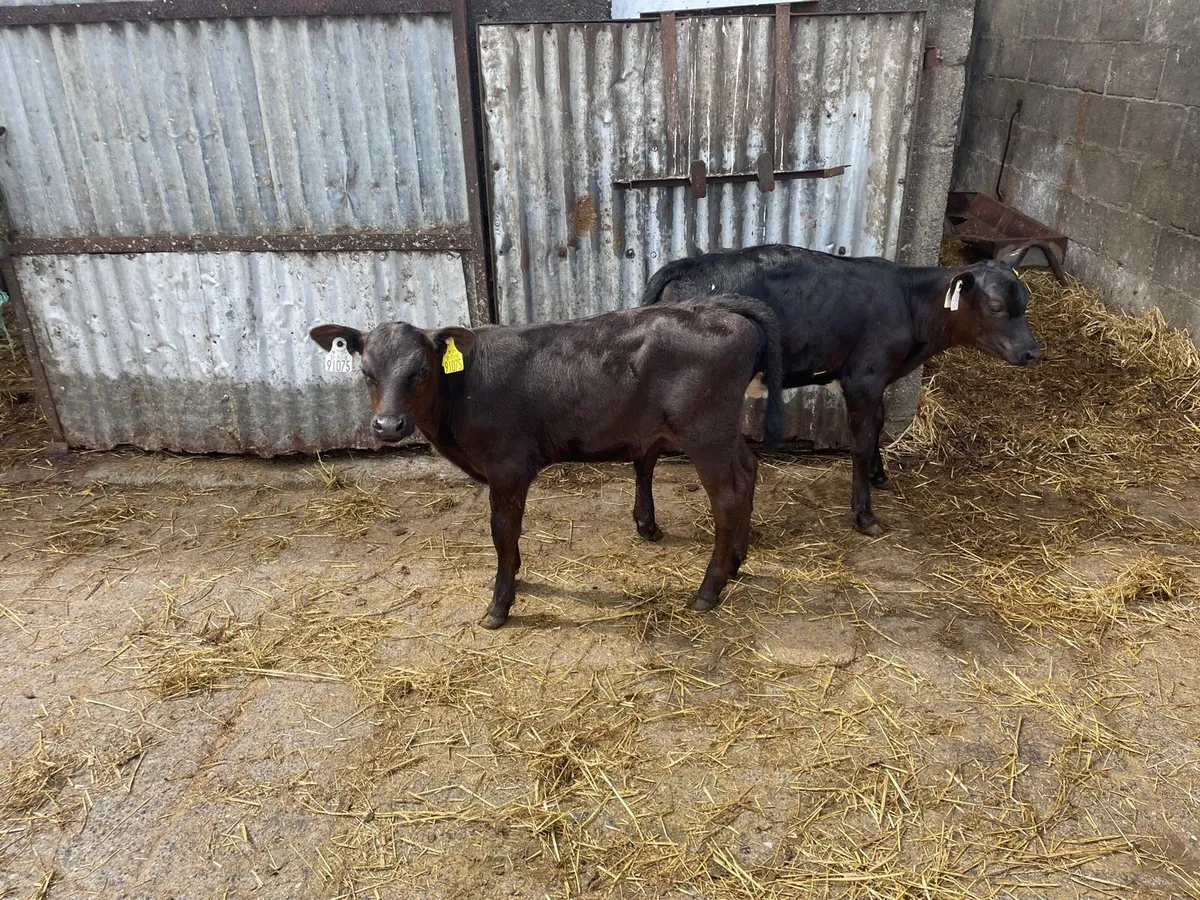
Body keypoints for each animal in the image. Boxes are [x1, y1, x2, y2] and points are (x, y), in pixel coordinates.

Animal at [310, 295, 783, 629]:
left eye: (421, 371)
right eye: (366, 373)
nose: (388, 425)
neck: (463, 389)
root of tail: (717, 307)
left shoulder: (507, 466)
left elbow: (503, 532)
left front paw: (499, 605)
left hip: (704, 431)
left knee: (728, 496)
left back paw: (709, 589)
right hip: (723, 431)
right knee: (748, 470)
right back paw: (737, 562)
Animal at [640, 244, 1043, 536]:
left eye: (1025, 301)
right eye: (996, 307)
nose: (1031, 351)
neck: (909, 302)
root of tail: (686, 266)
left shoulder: (877, 379)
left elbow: (877, 425)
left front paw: (880, 475)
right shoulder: (864, 377)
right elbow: (861, 441)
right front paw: (865, 515)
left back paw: (647, 525)